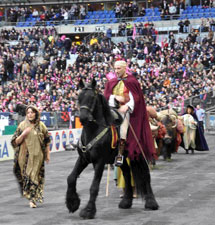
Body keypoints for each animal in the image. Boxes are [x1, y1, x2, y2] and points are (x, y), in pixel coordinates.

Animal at [65, 78, 158, 219]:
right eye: (78, 97)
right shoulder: (83, 159)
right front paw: (72, 203)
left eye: (92, 98)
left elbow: (94, 187)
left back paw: (151, 202)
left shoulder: (99, 162)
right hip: (122, 159)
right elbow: (71, 178)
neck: (94, 130)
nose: (83, 118)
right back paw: (126, 201)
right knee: (127, 174)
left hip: (139, 155)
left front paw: (88, 210)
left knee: (145, 174)